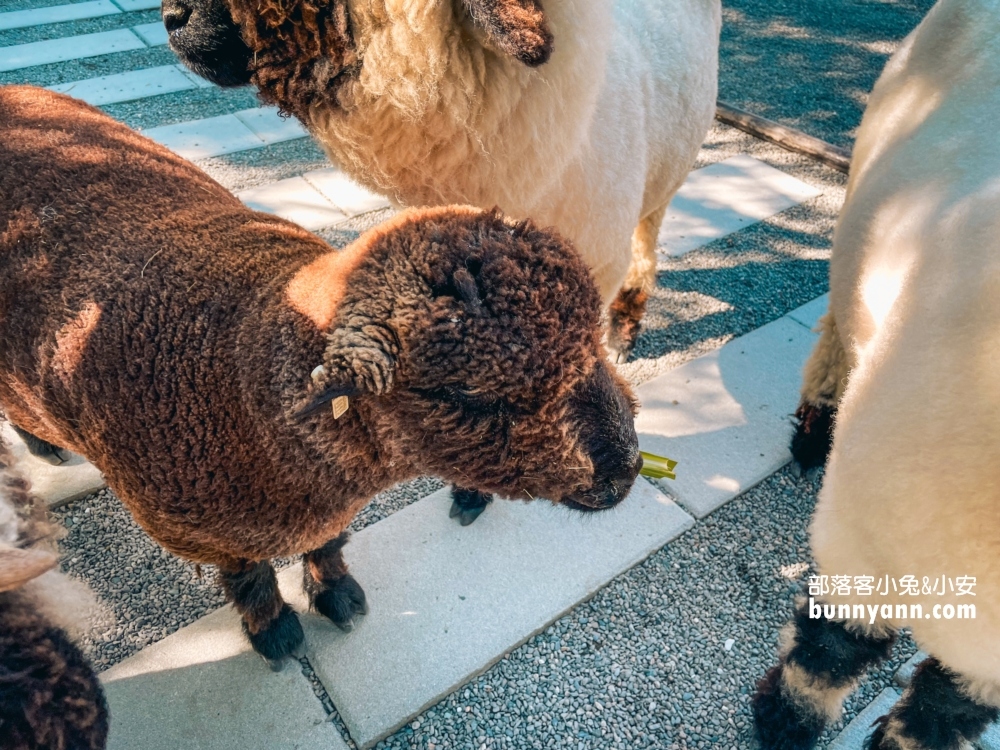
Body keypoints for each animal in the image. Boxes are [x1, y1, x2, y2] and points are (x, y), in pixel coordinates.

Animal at [0, 85, 640, 668]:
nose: (629, 468)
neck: (239, 367)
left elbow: (328, 544)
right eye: (470, 396)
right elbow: (250, 577)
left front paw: (338, 595)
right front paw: (275, 634)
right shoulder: (208, 534)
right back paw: (40, 446)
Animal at [752, 0, 1000, 748]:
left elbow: (947, 706)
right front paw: (783, 722)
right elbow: (833, 650)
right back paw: (814, 433)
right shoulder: (868, 539)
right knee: (837, 334)